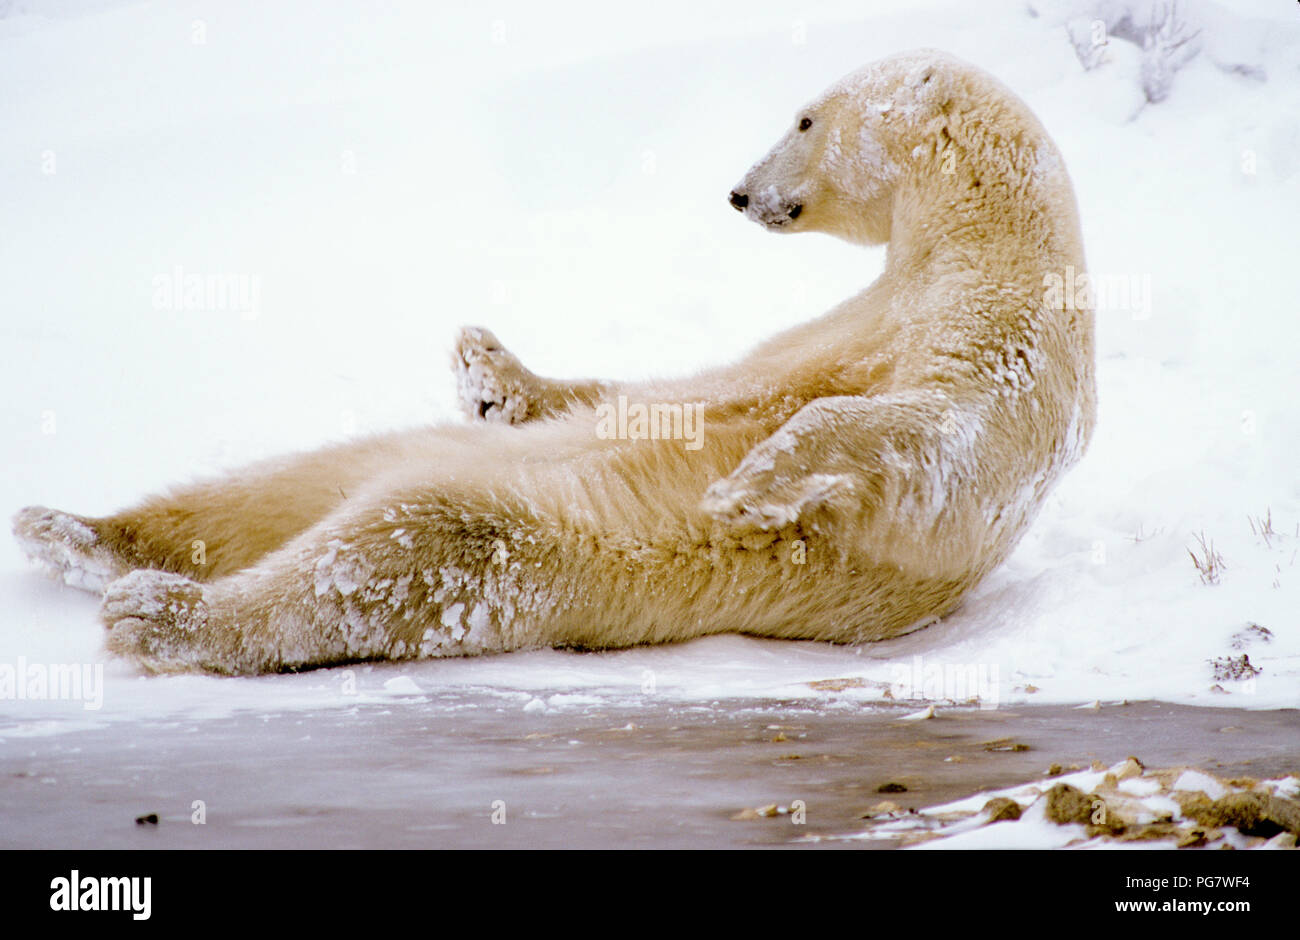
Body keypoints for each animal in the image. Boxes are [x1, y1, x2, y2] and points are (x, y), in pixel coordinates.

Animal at [15, 51, 1092, 670]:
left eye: (802, 118)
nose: (741, 192)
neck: (978, 241)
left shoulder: (1009, 350)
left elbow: (935, 436)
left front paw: (750, 484)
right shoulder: (852, 316)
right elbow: (684, 386)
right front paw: (487, 367)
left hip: (556, 545)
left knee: (408, 551)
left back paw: (161, 616)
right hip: (377, 462)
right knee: (280, 485)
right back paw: (73, 532)